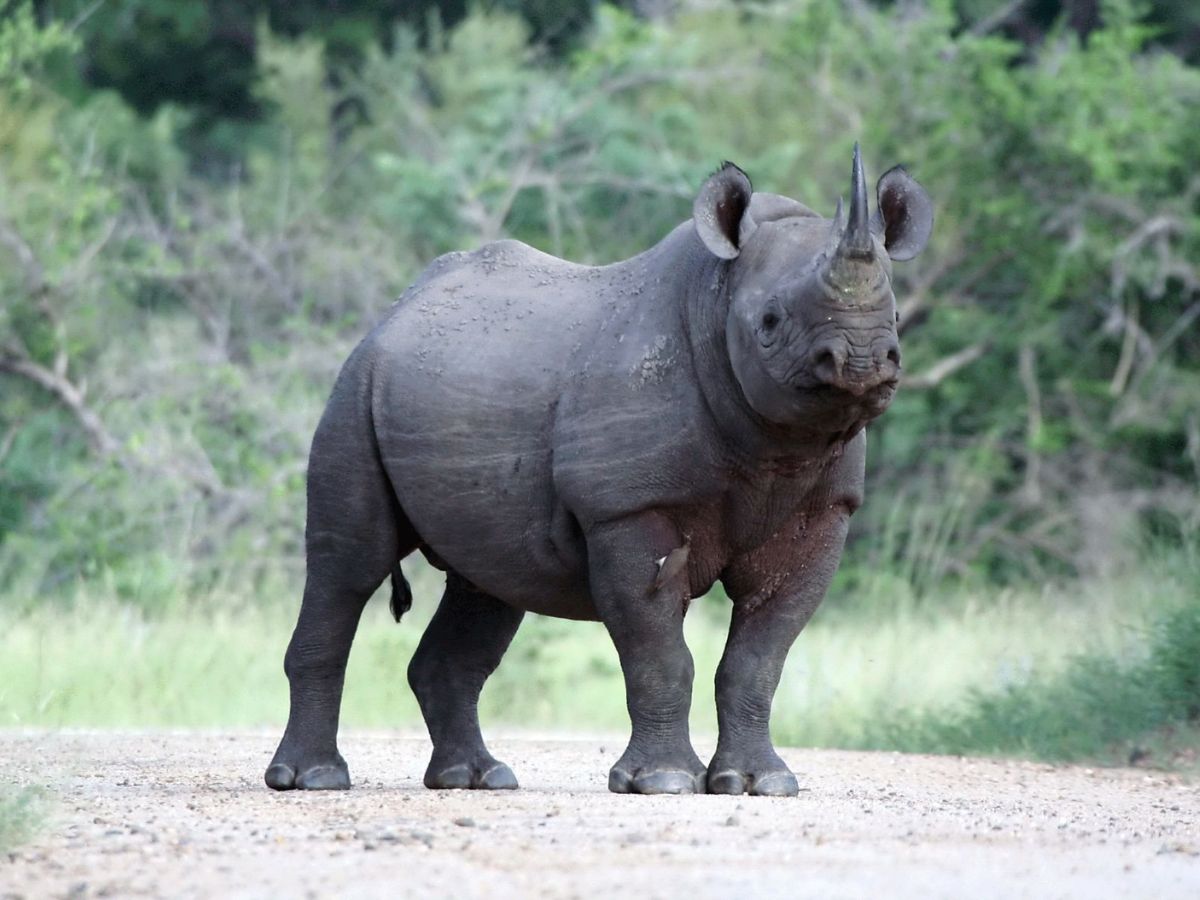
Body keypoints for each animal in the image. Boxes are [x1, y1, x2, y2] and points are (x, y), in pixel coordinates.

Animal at [266, 144, 932, 796]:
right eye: (768, 322)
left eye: (896, 317)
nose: (861, 359)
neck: (716, 296)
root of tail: (394, 312)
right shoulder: (626, 506)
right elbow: (659, 650)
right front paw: (663, 782)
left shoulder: (822, 510)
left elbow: (760, 656)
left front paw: (761, 782)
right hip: (354, 389)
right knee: (349, 566)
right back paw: (313, 779)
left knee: (488, 584)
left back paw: (476, 779)